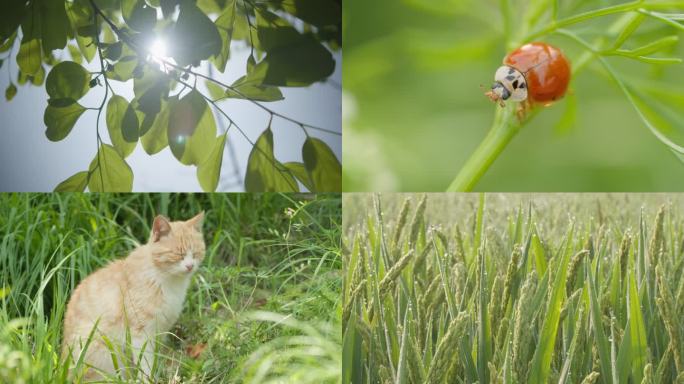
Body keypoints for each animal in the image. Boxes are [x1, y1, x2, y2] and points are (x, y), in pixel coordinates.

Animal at [62, 213, 206, 380]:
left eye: (195, 253)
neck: (167, 280)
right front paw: (147, 380)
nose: (190, 266)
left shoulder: (160, 331)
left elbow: (154, 360)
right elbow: (145, 363)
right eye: (178, 254)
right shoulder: (141, 333)